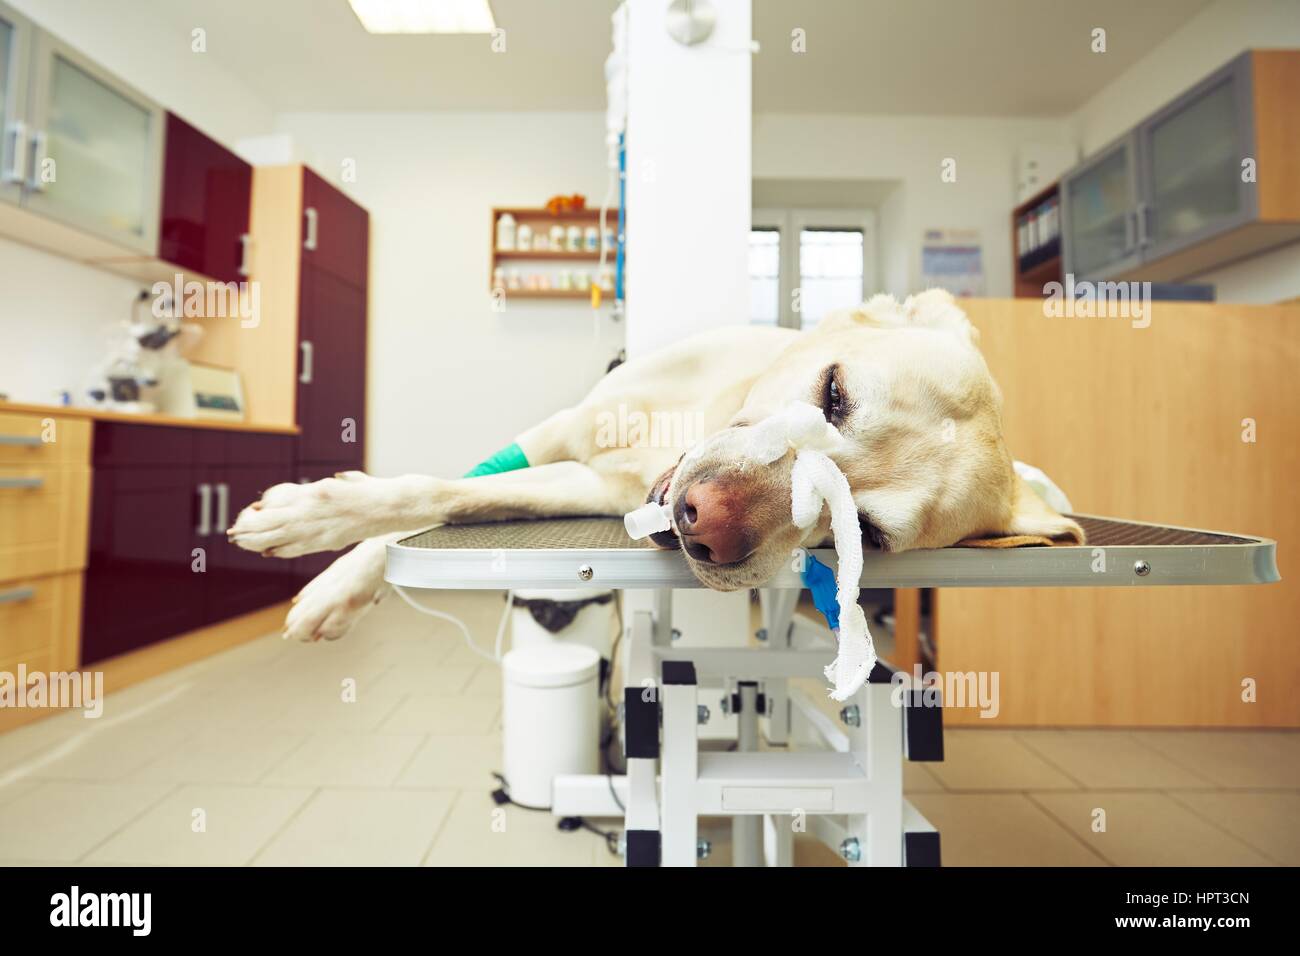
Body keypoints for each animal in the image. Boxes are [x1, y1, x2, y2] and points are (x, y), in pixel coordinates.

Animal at [228, 287, 1081, 639]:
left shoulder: (592, 486)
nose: (709, 527)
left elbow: (450, 500)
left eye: (864, 534)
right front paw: (320, 536)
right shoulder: (562, 433)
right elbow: (439, 489)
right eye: (835, 393)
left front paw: (337, 569)